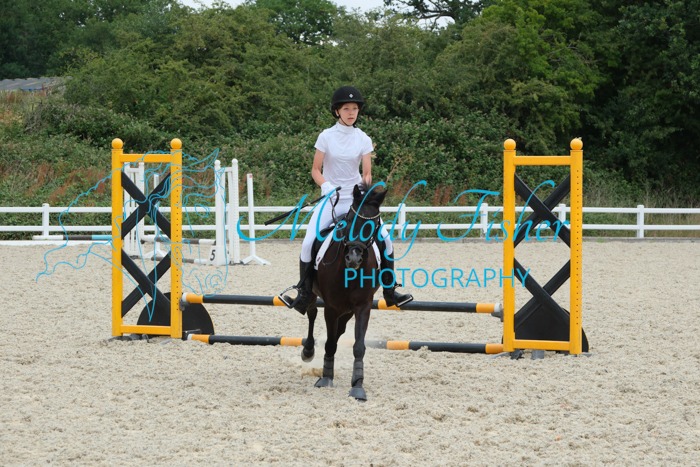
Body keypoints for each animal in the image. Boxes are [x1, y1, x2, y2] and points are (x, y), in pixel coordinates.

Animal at [299, 183, 386, 401]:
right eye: (350, 220)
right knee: (312, 314)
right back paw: (308, 351)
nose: (354, 258)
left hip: (347, 310)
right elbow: (329, 343)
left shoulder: (363, 307)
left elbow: (358, 345)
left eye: (374, 225)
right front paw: (326, 378)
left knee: (340, 330)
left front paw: (358, 385)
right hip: (314, 295)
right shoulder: (331, 307)